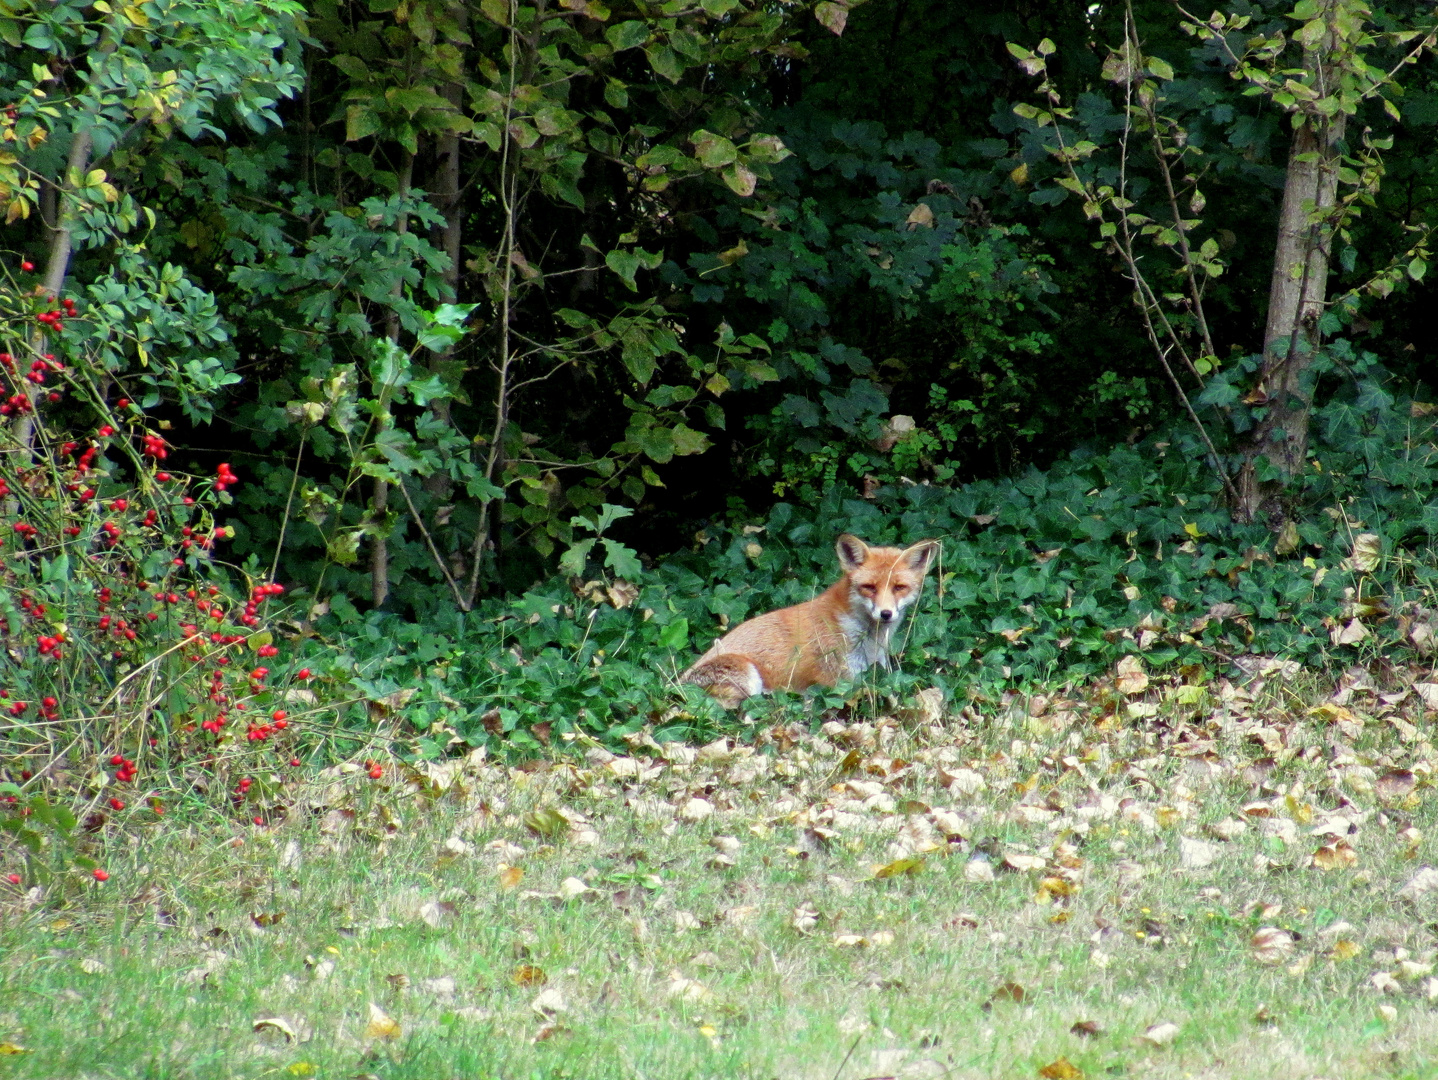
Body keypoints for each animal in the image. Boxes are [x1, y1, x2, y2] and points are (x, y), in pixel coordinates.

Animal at [684, 534, 943, 710]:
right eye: (869, 587)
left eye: (899, 587)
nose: (886, 613)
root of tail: (678, 684)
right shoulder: (841, 683)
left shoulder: (879, 671)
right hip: (748, 676)